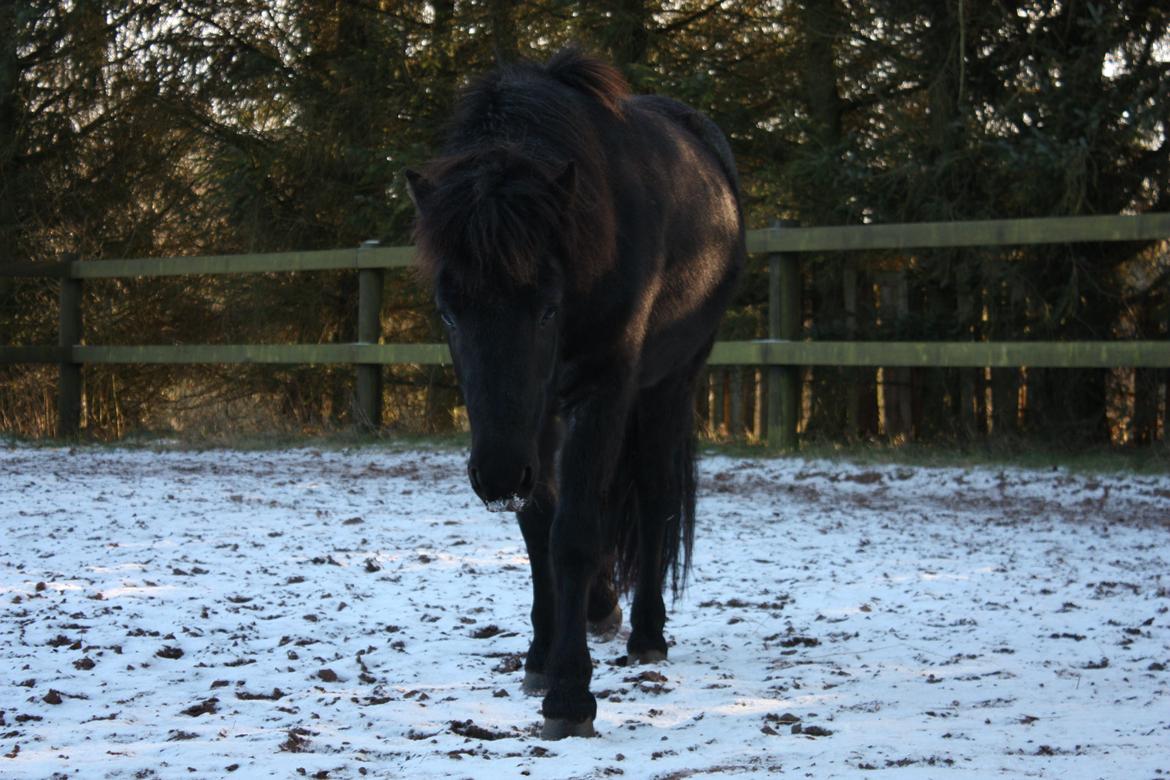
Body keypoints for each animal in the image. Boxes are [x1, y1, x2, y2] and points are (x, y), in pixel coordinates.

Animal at [407, 48, 744, 739]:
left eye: (546, 309)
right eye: (448, 312)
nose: (495, 475)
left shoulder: (603, 388)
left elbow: (576, 533)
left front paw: (569, 695)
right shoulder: (534, 422)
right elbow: (540, 529)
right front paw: (540, 658)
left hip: (669, 385)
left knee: (654, 495)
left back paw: (647, 634)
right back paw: (599, 609)